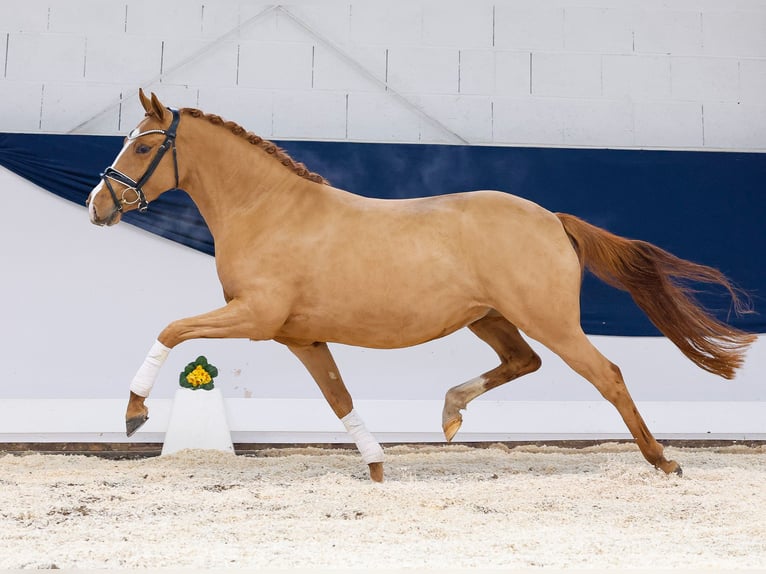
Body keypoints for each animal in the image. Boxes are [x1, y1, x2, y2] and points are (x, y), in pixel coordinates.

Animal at [87, 92, 752, 484]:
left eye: (143, 144)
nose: (98, 206)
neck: (269, 210)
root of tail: (551, 218)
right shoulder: (299, 337)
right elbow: (339, 399)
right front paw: (378, 466)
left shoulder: (255, 317)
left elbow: (172, 328)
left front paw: (134, 413)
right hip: (489, 317)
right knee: (523, 361)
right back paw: (451, 413)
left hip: (551, 321)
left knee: (605, 374)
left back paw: (663, 460)